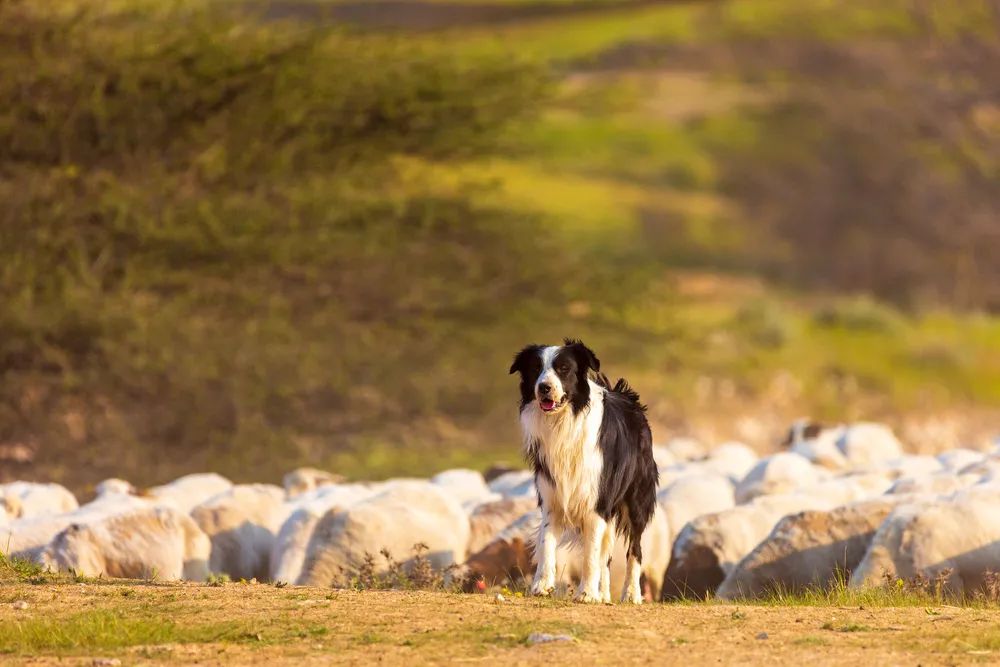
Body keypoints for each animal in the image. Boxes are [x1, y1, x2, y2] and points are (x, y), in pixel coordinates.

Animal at [512, 342, 660, 604]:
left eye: (563, 368)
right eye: (536, 368)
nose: (544, 387)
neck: (564, 422)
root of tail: (627, 396)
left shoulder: (596, 502)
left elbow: (591, 554)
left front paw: (586, 594)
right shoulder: (551, 497)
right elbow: (546, 542)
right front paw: (542, 586)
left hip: (636, 501)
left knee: (635, 550)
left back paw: (631, 594)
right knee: (606, 556)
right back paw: (604, 594)